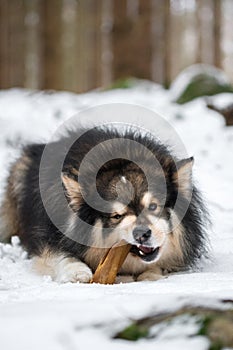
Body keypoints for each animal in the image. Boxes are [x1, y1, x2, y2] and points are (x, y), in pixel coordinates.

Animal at [0, 124, 208, 284]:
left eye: (153, 207)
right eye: (117, 216)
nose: (142, 234)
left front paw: (151, 274)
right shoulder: (46, 237)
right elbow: (59, 254)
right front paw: (77, 271)